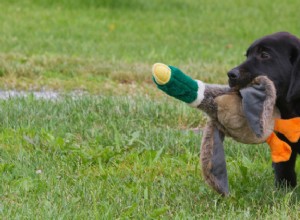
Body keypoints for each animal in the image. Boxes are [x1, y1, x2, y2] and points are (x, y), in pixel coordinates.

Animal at [227, 31, 300, 187]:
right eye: (247, 55)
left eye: (265, 55)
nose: (231, 74)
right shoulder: (282, 138)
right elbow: (284, 166)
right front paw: (284, 189)